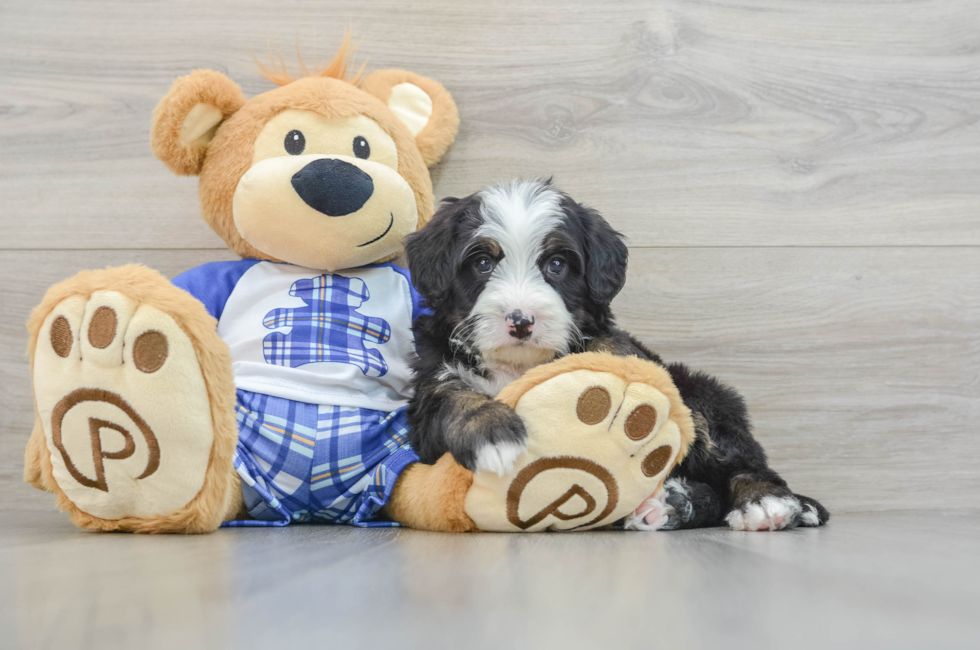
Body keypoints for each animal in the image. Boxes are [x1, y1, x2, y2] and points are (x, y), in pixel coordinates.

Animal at [404, 180, 828, 528]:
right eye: (482, 263)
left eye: (556, 264)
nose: (521, 320)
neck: (517, 365)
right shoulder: (430, 389)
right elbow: (456, 400)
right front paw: (493, 433)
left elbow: (614, 346)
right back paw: (668, 504)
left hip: (704, 398)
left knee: (741, 464)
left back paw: (766, 504)